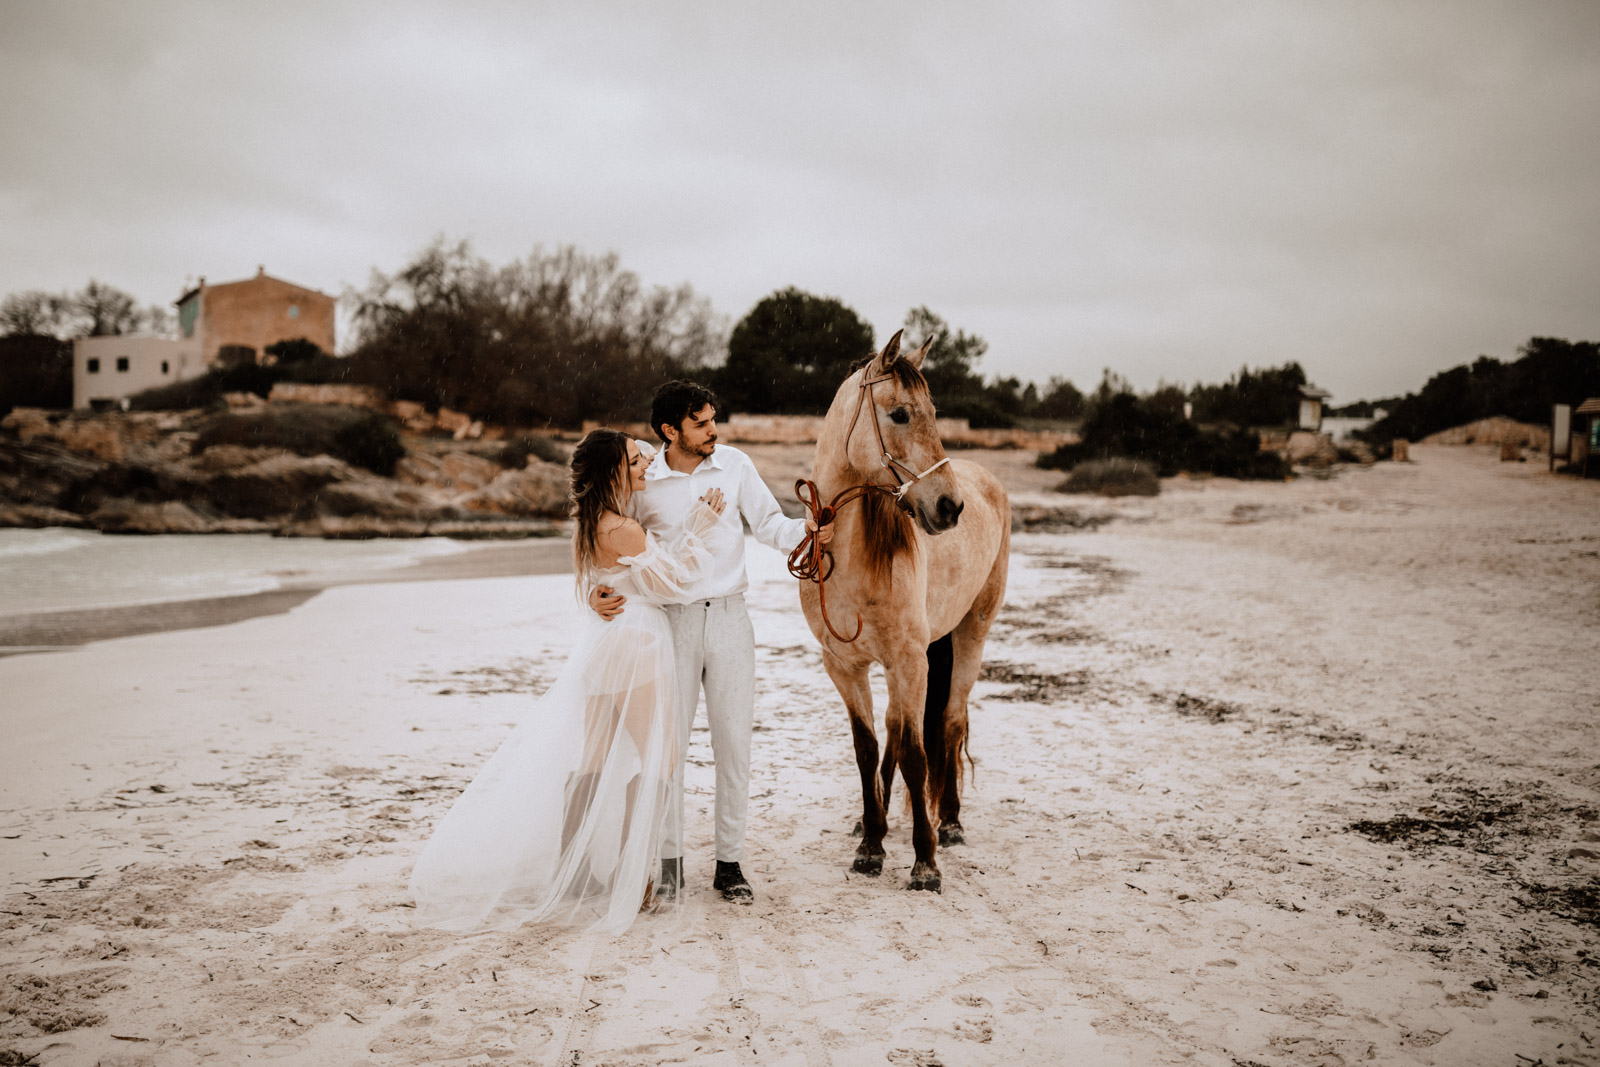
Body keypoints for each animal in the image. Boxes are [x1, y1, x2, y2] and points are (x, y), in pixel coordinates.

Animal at [790, 327, 1004, 895]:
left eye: (933, 411)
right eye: (901, 414)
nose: (950, 507)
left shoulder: (911, 660)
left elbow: (915, 752)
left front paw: (924, 861)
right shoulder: (846, 666)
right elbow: (868, 748)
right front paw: (870, 844)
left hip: (971, 634)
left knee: (949, 722)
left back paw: (949, 822)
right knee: (893, 730)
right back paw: (877, 821)